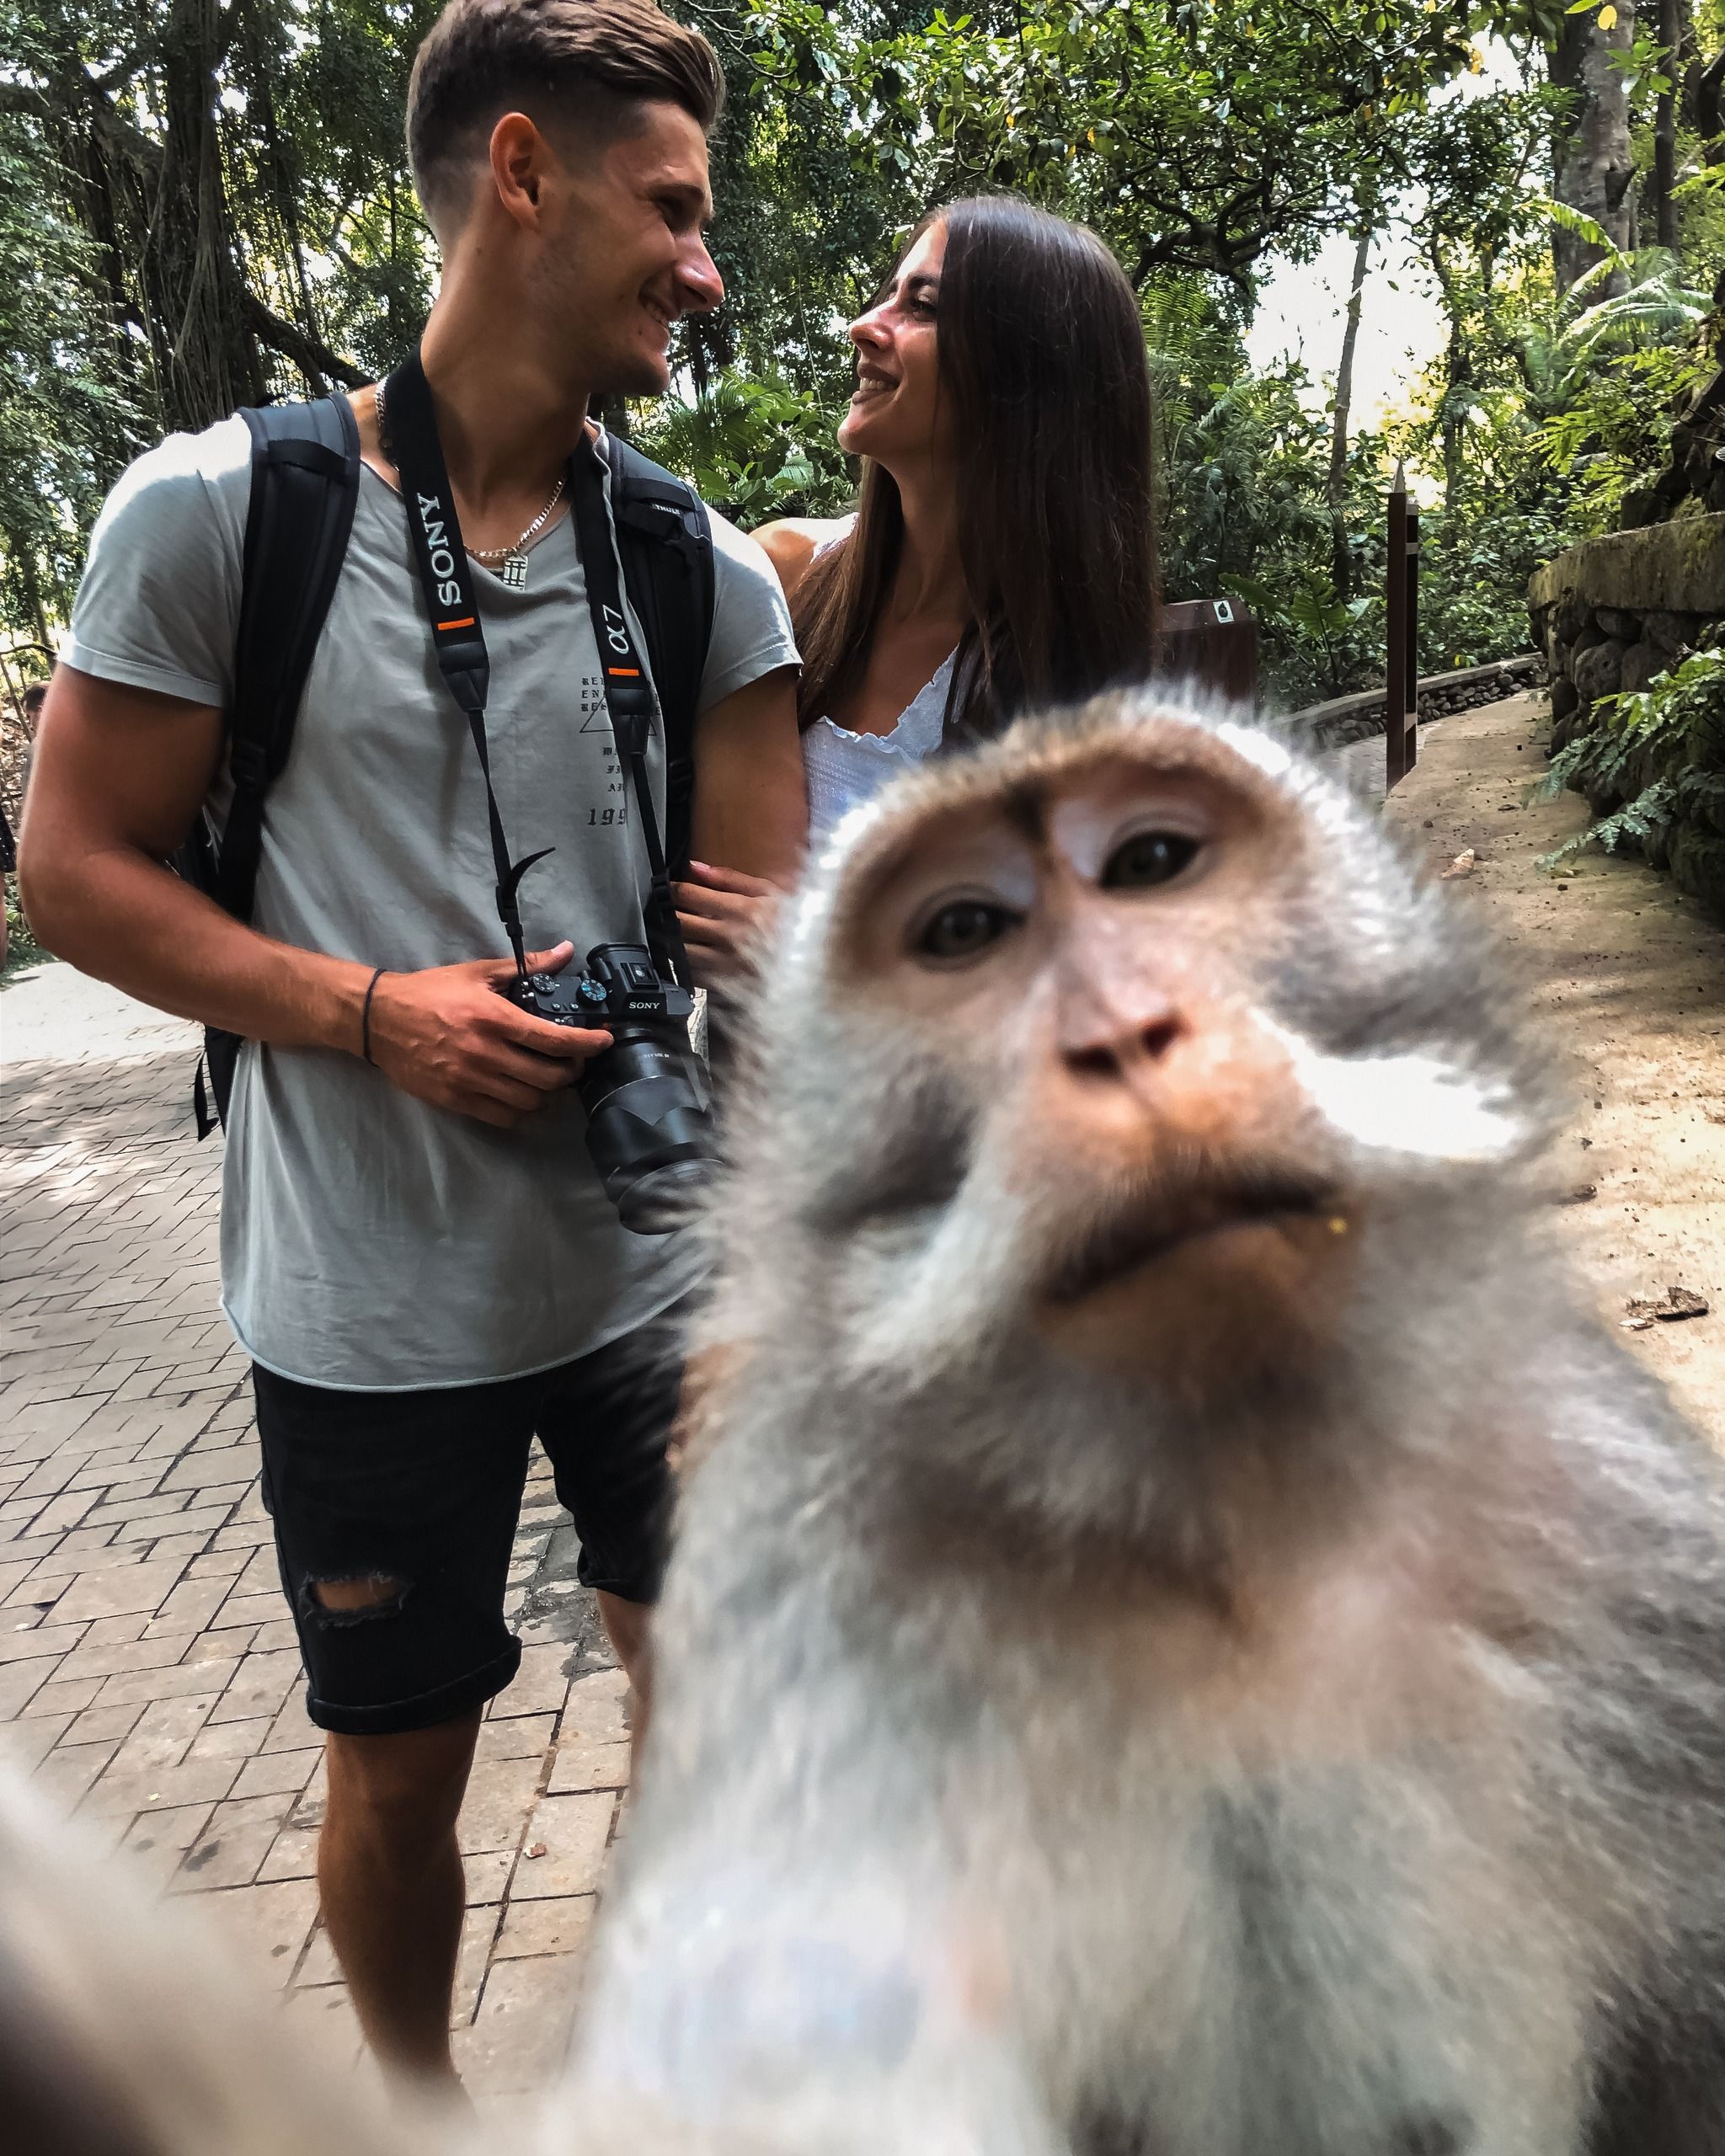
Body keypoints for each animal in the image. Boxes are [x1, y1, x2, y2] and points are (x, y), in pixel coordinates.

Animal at [563, 688, 1725, 2156]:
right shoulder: (813, 1620)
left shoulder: (1628, 1545)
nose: (1121, 1035)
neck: (1227, 1524)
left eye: (1152, 864)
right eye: (964, 932)